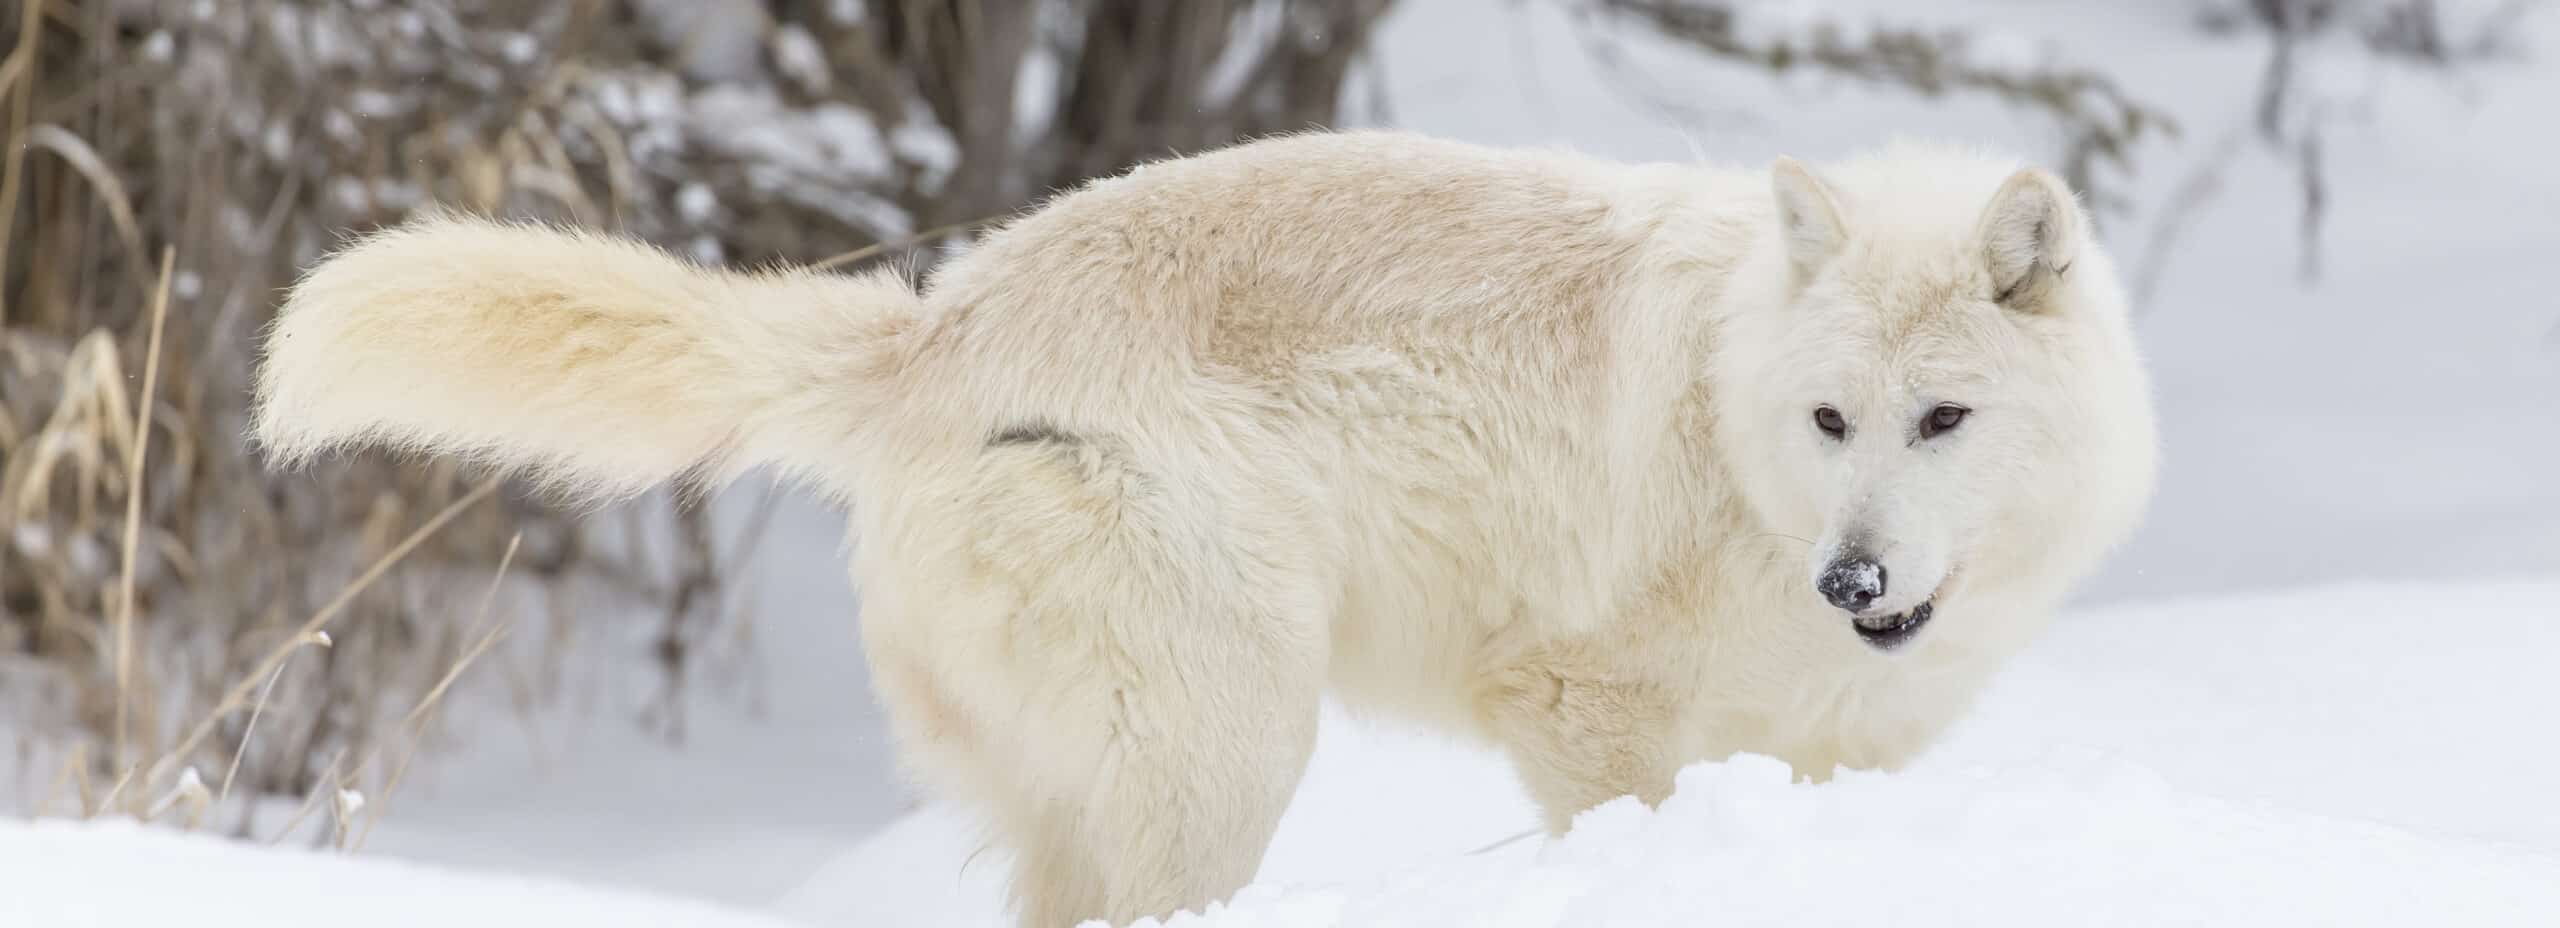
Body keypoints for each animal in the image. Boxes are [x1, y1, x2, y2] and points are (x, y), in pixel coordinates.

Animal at [249, 130, 2150, 928]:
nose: (1855, 575)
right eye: (1833, 421)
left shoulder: (1842, 752)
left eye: (1941, 419)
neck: (1736, 434)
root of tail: (936, 326)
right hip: (1235, 744)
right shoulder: (1579, 705)